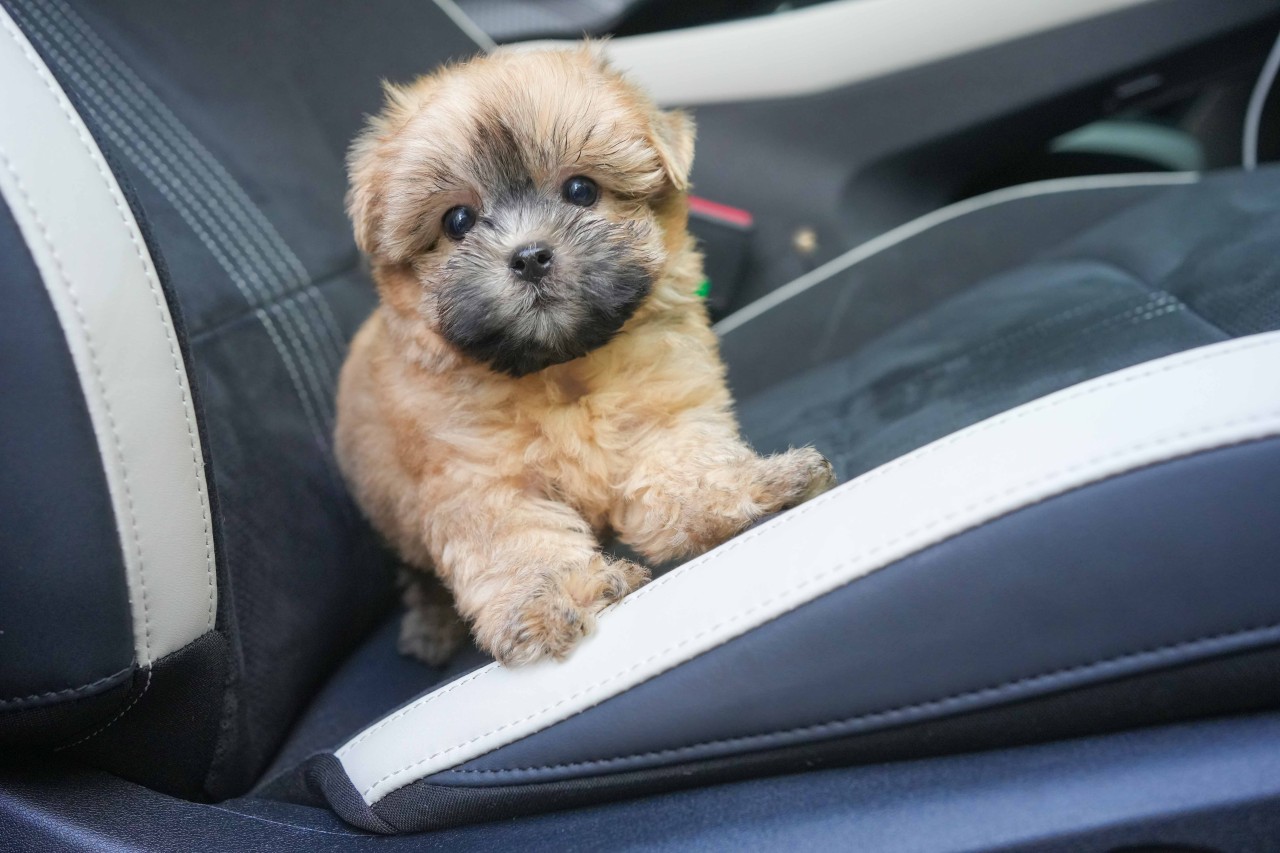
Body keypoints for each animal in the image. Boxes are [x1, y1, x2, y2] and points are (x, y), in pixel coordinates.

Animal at [336, 45, 836, 666]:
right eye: (458, 221)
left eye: (581, 190)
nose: (529, 257)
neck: (562, 367)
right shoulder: (477, 478)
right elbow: (520, 541)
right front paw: (551, 597)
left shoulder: (662, 413)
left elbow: (683, 468)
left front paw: (749, 490)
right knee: (419, 574)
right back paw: (430, 626)